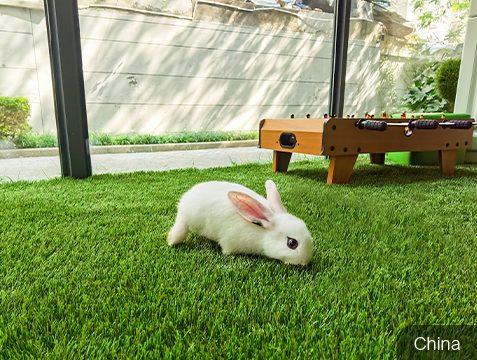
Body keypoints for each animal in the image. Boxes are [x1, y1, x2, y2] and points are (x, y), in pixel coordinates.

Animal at [167, 179, 312, 264]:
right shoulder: (230, 240)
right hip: (186, 221)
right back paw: (171, 241)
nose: (305, 262)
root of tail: (183, 204)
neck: (262, 234)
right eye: (292, 243)